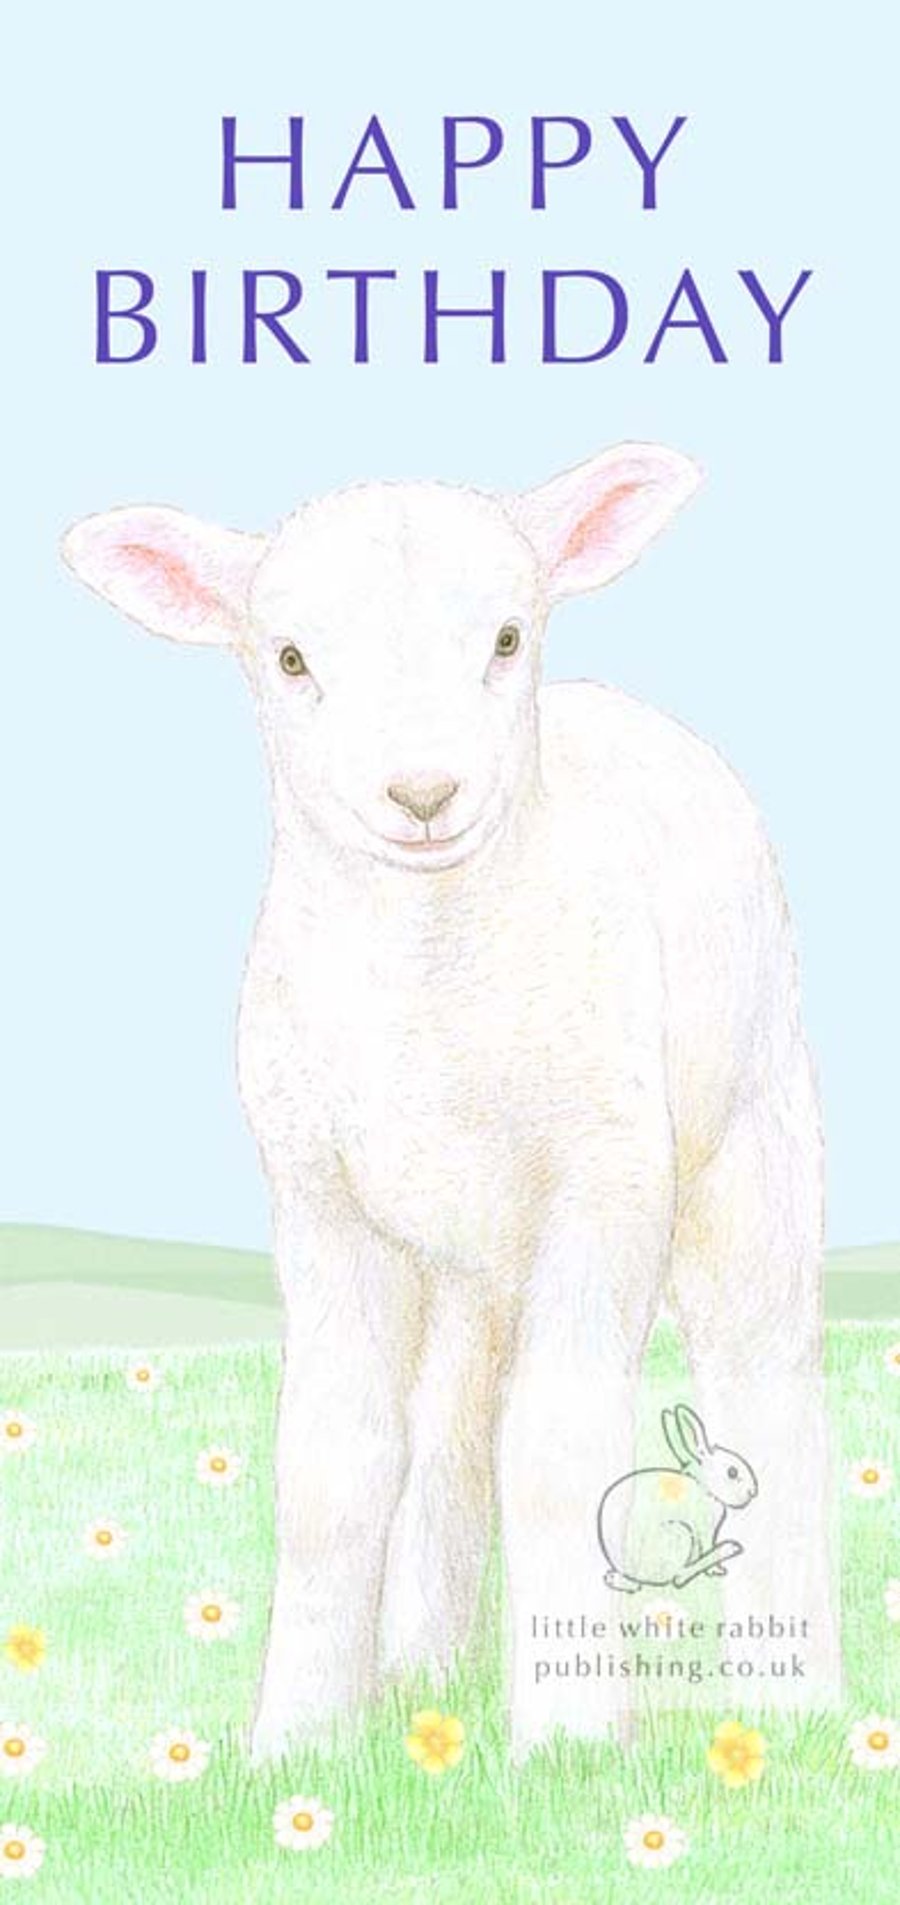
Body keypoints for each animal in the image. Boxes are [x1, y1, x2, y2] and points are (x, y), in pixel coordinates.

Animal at [62, 444, 840, 1759]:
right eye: (290, 657)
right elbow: (332, 1471)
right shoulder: (322, 1210)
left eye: (507, 637)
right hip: (467, 1263)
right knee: (451, 1435)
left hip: (748, 1147)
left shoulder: (607, 1181)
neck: (430, 992)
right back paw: (423, 1671)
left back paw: (796, 1706)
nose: (423, 793)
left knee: (766, 1387)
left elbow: (562, 1449)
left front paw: (570, 1746)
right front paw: (299, 1739)